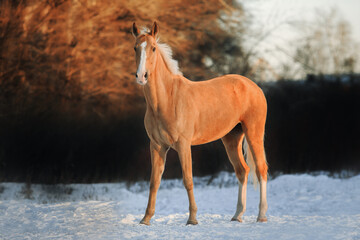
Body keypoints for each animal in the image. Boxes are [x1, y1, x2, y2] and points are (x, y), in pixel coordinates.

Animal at [131, 21, 268, 226]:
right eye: (135, 48)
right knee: (242, 171)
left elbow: (188, 180)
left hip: (254, 134)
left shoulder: (183, 145)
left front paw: (192, 219)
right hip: (231, 139)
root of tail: (254, 87)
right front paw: (145, 219)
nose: (142, 76)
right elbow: (154, 182)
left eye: (153, 48)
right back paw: (237, 215)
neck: (167, 99)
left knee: (261, 170)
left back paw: (261, 216)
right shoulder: (157, 146)